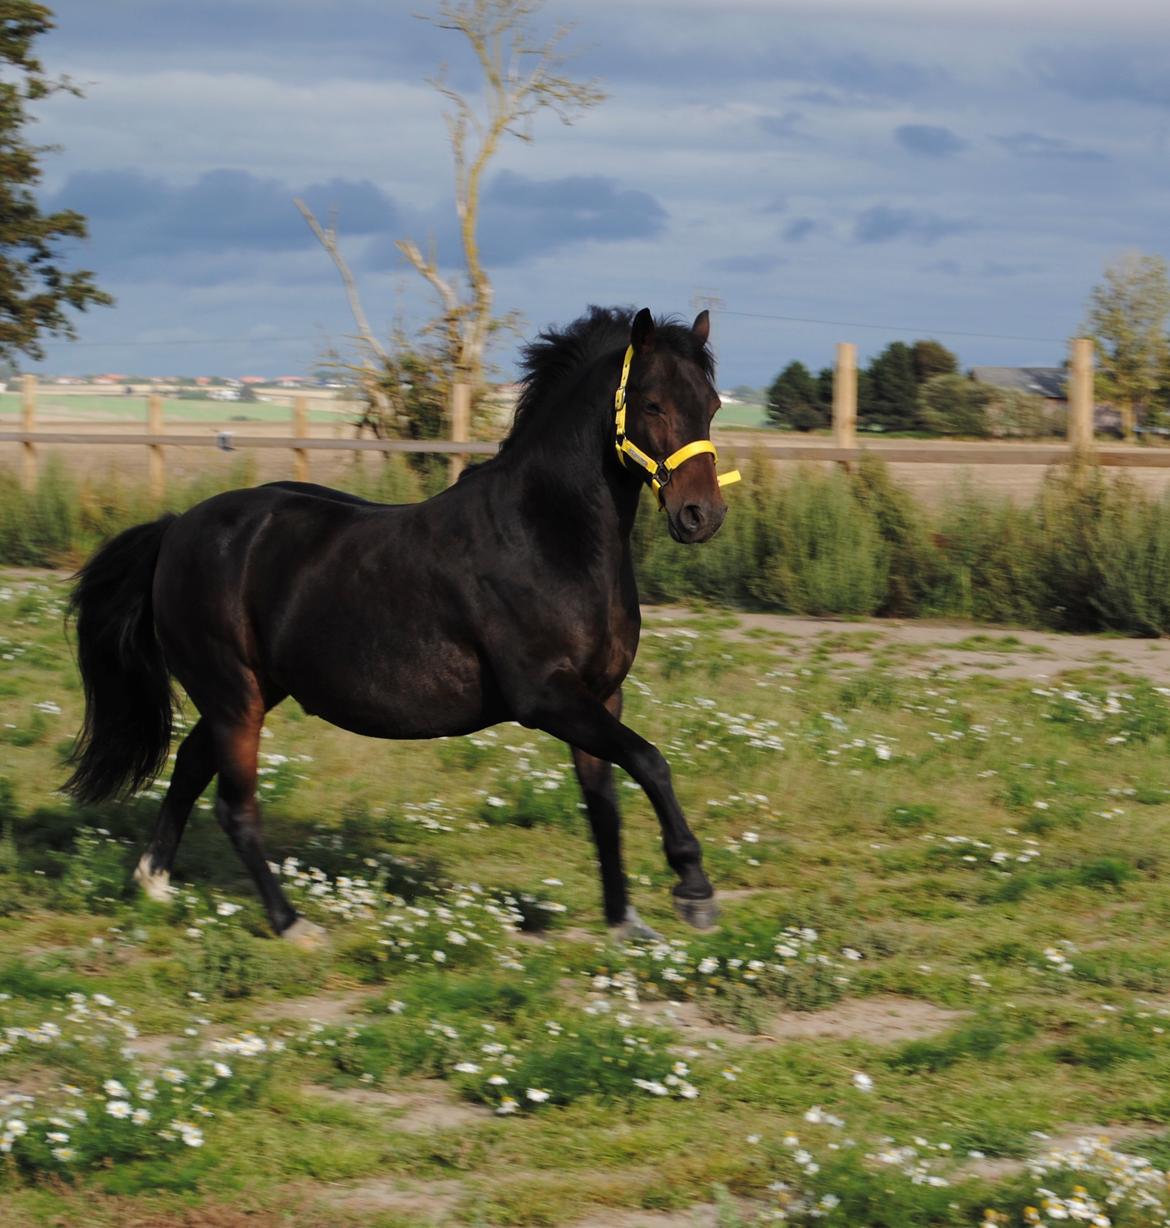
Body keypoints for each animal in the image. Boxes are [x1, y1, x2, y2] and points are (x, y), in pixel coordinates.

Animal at [63, 307, 736, 938]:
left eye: (711, 405)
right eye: (652, 403)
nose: (701, 515)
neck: (545, 536)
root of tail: (177, 527)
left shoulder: (601, 695)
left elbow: (605, 806)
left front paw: (625, 921)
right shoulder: (546, 697)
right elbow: (650, 761)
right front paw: (694, 889)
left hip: (252, 691)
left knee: (190, 766)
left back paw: (152, 882)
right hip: (233, 696)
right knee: (235, 807)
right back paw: (292, 924)